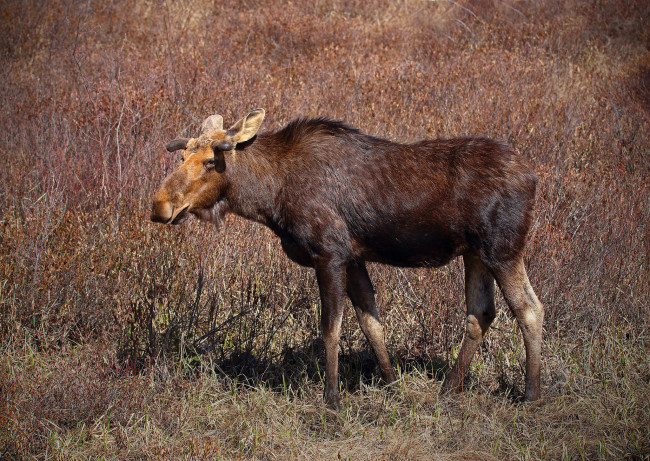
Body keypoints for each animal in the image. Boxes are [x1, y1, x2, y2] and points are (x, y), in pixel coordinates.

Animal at [151, 109, 540, 404]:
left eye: (209, 161)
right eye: (182, 156)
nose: (159, 205)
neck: (269, 197)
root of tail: (534, 177)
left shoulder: (329, 254)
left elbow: (331, 329)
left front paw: (332, 397)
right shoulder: (353, 257)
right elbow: (371, 323)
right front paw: (392, 384)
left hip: (503, 248)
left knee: (529, 309)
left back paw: (532, 394)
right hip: (475, 253)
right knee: (480, 313)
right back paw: (448, 389)